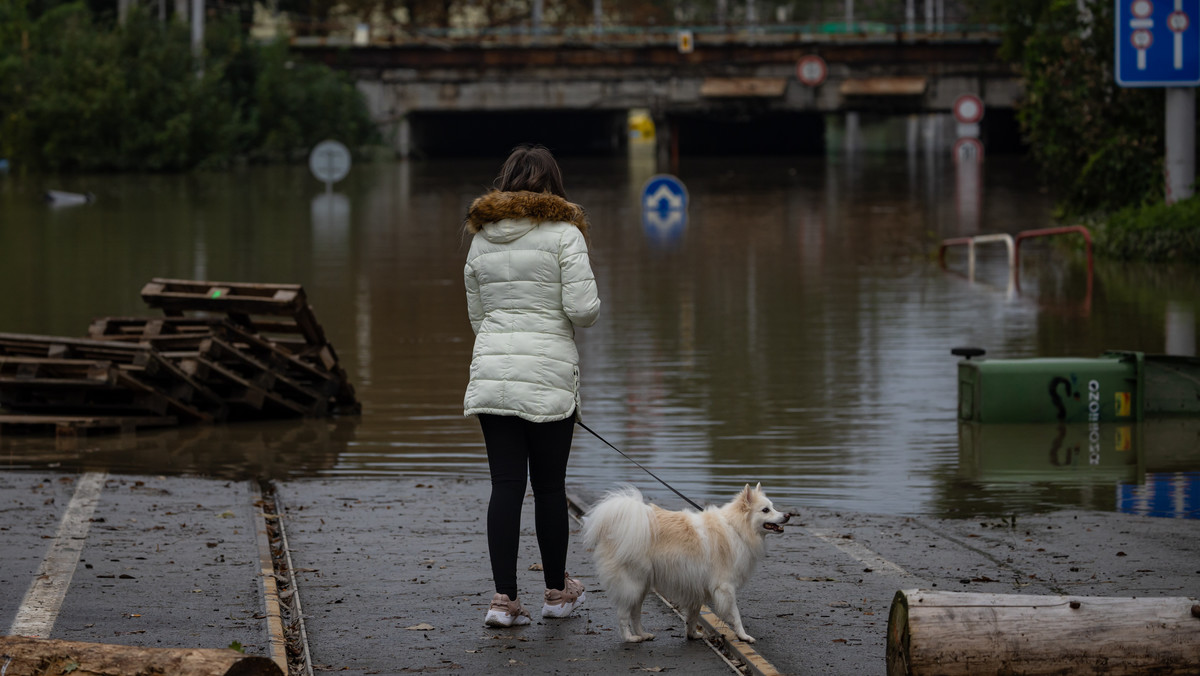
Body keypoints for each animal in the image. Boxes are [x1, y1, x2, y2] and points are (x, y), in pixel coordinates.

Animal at [578, 485, 787, 643]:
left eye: (773, 507)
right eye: (766, 510)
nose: (787, 515)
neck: (736, 528)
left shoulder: (698, 588)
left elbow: (693, 616)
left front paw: (692, 635)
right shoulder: (725, 587)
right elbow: (735, 615)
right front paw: (744, 636)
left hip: (642, 586)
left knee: (635, 613)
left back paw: (643, 634)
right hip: (632, 584)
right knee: (623, 614)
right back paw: (630, 638)